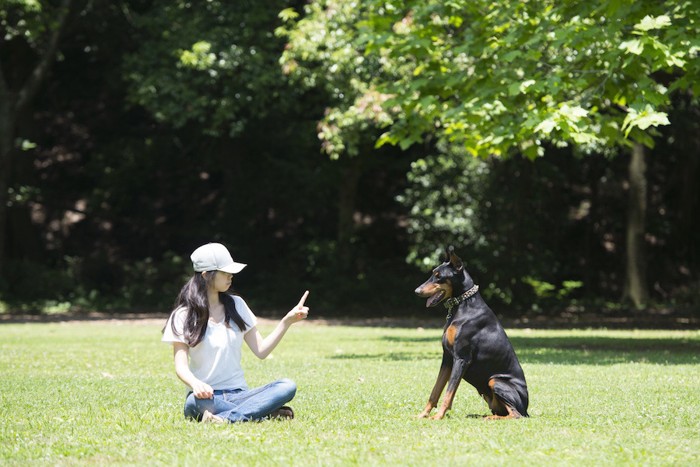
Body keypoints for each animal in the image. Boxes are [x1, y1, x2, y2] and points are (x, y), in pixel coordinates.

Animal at [412, 249, 528, 420]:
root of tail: (526, 407)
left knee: (516, 414)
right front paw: (423, 414)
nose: (417, 291)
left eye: (439, 276)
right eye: (433, 273)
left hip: (496, 381)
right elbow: (436, 391)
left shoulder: (461, 358)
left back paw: (489, 418)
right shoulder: (447, 358)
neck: (461, 305)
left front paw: (438, 417)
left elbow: (448, 393)